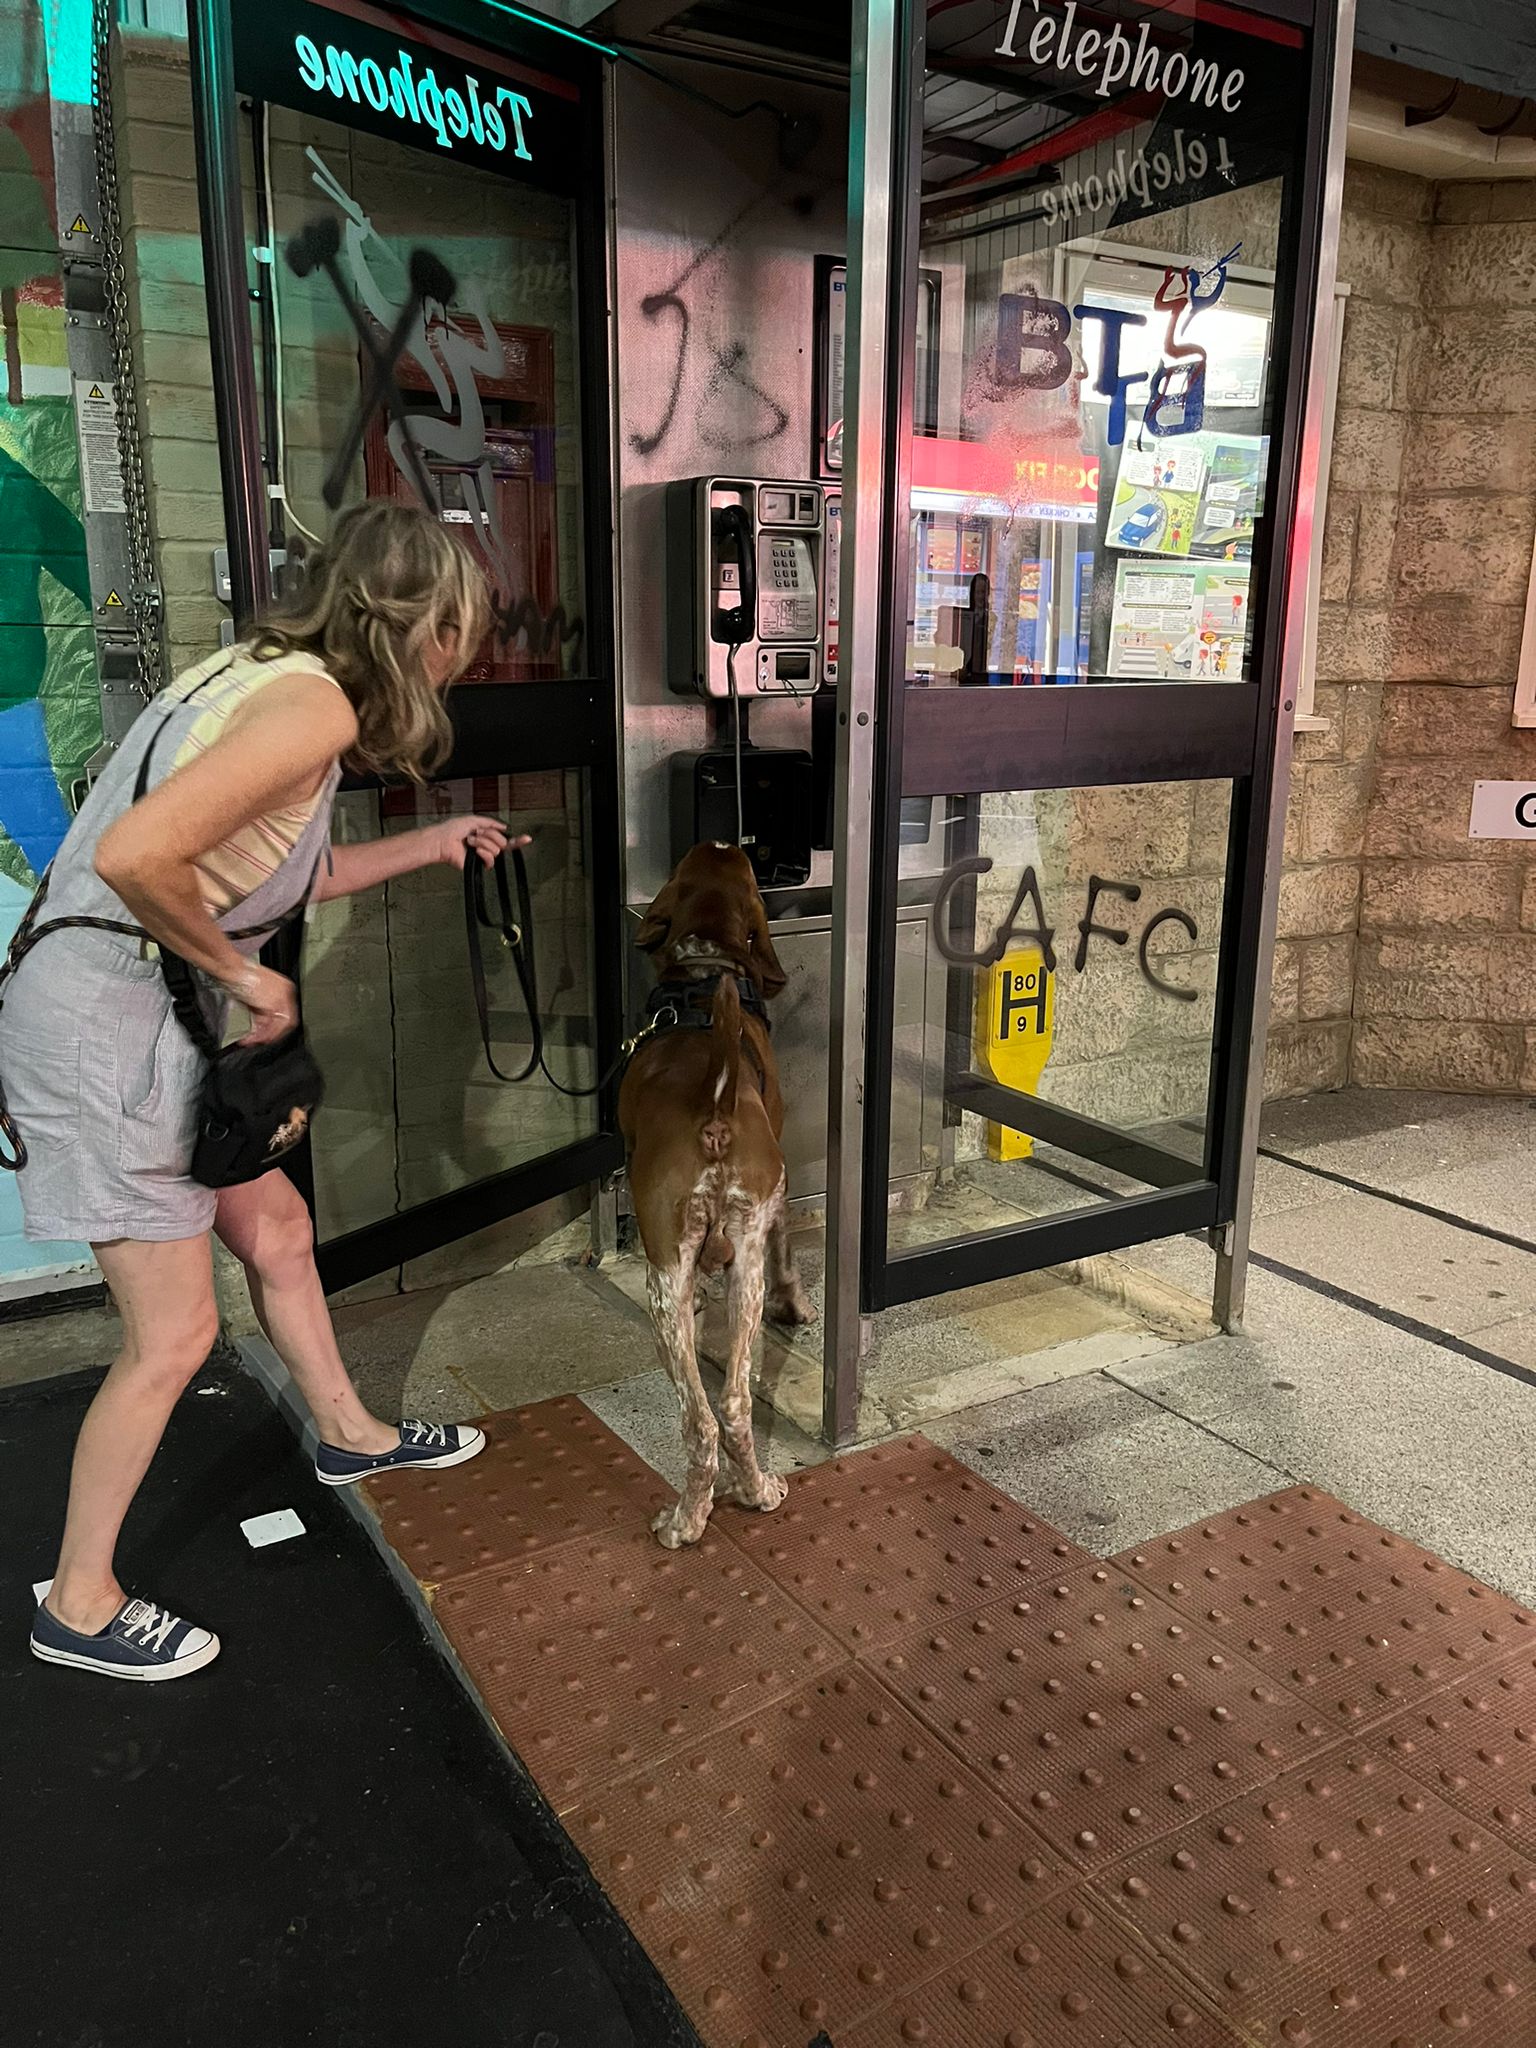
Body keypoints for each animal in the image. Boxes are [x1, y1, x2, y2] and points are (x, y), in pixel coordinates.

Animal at [626, 839, 819, 1540]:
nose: (725, 838)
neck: (705, 972)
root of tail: (714, 1110)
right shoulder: (780, 1198)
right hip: (738, 1271)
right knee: (731, 1406)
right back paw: (748, 1494)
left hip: (664, 1282)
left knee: (704, 1418)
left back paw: (691, 1517)